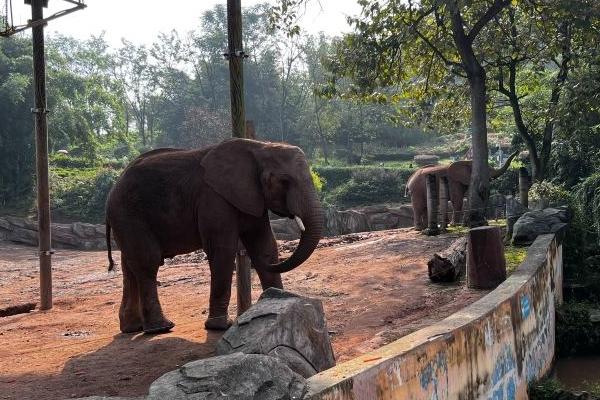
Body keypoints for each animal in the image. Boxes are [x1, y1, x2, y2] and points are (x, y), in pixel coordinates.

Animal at [105, 138, 326, 334]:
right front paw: (220, 326)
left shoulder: (251, 196)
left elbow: (263, 244)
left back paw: (132, 328)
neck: (260, 146)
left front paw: (280, 301)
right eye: (284, 181)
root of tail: (112, 189)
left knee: (129, 266)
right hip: (129, 214)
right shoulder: (213, 198)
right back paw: (160, 328)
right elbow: (222, 249)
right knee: (147, 262)